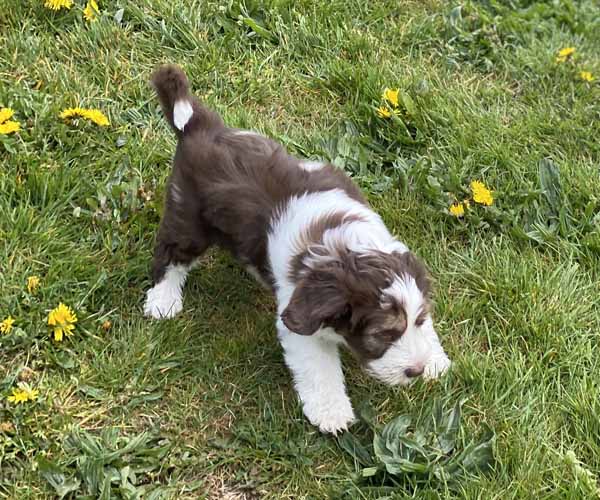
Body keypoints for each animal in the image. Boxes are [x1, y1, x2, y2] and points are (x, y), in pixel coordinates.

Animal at [144, 65, 451, 434]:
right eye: (383, 334)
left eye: (418, 321)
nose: (414, 370)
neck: (346, 248)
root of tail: (199, 124)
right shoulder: (301, 316)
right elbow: (319, 369)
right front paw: (332, 413)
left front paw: (435, 360)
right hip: (188, 217)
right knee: (171, 255)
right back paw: (163, 301)